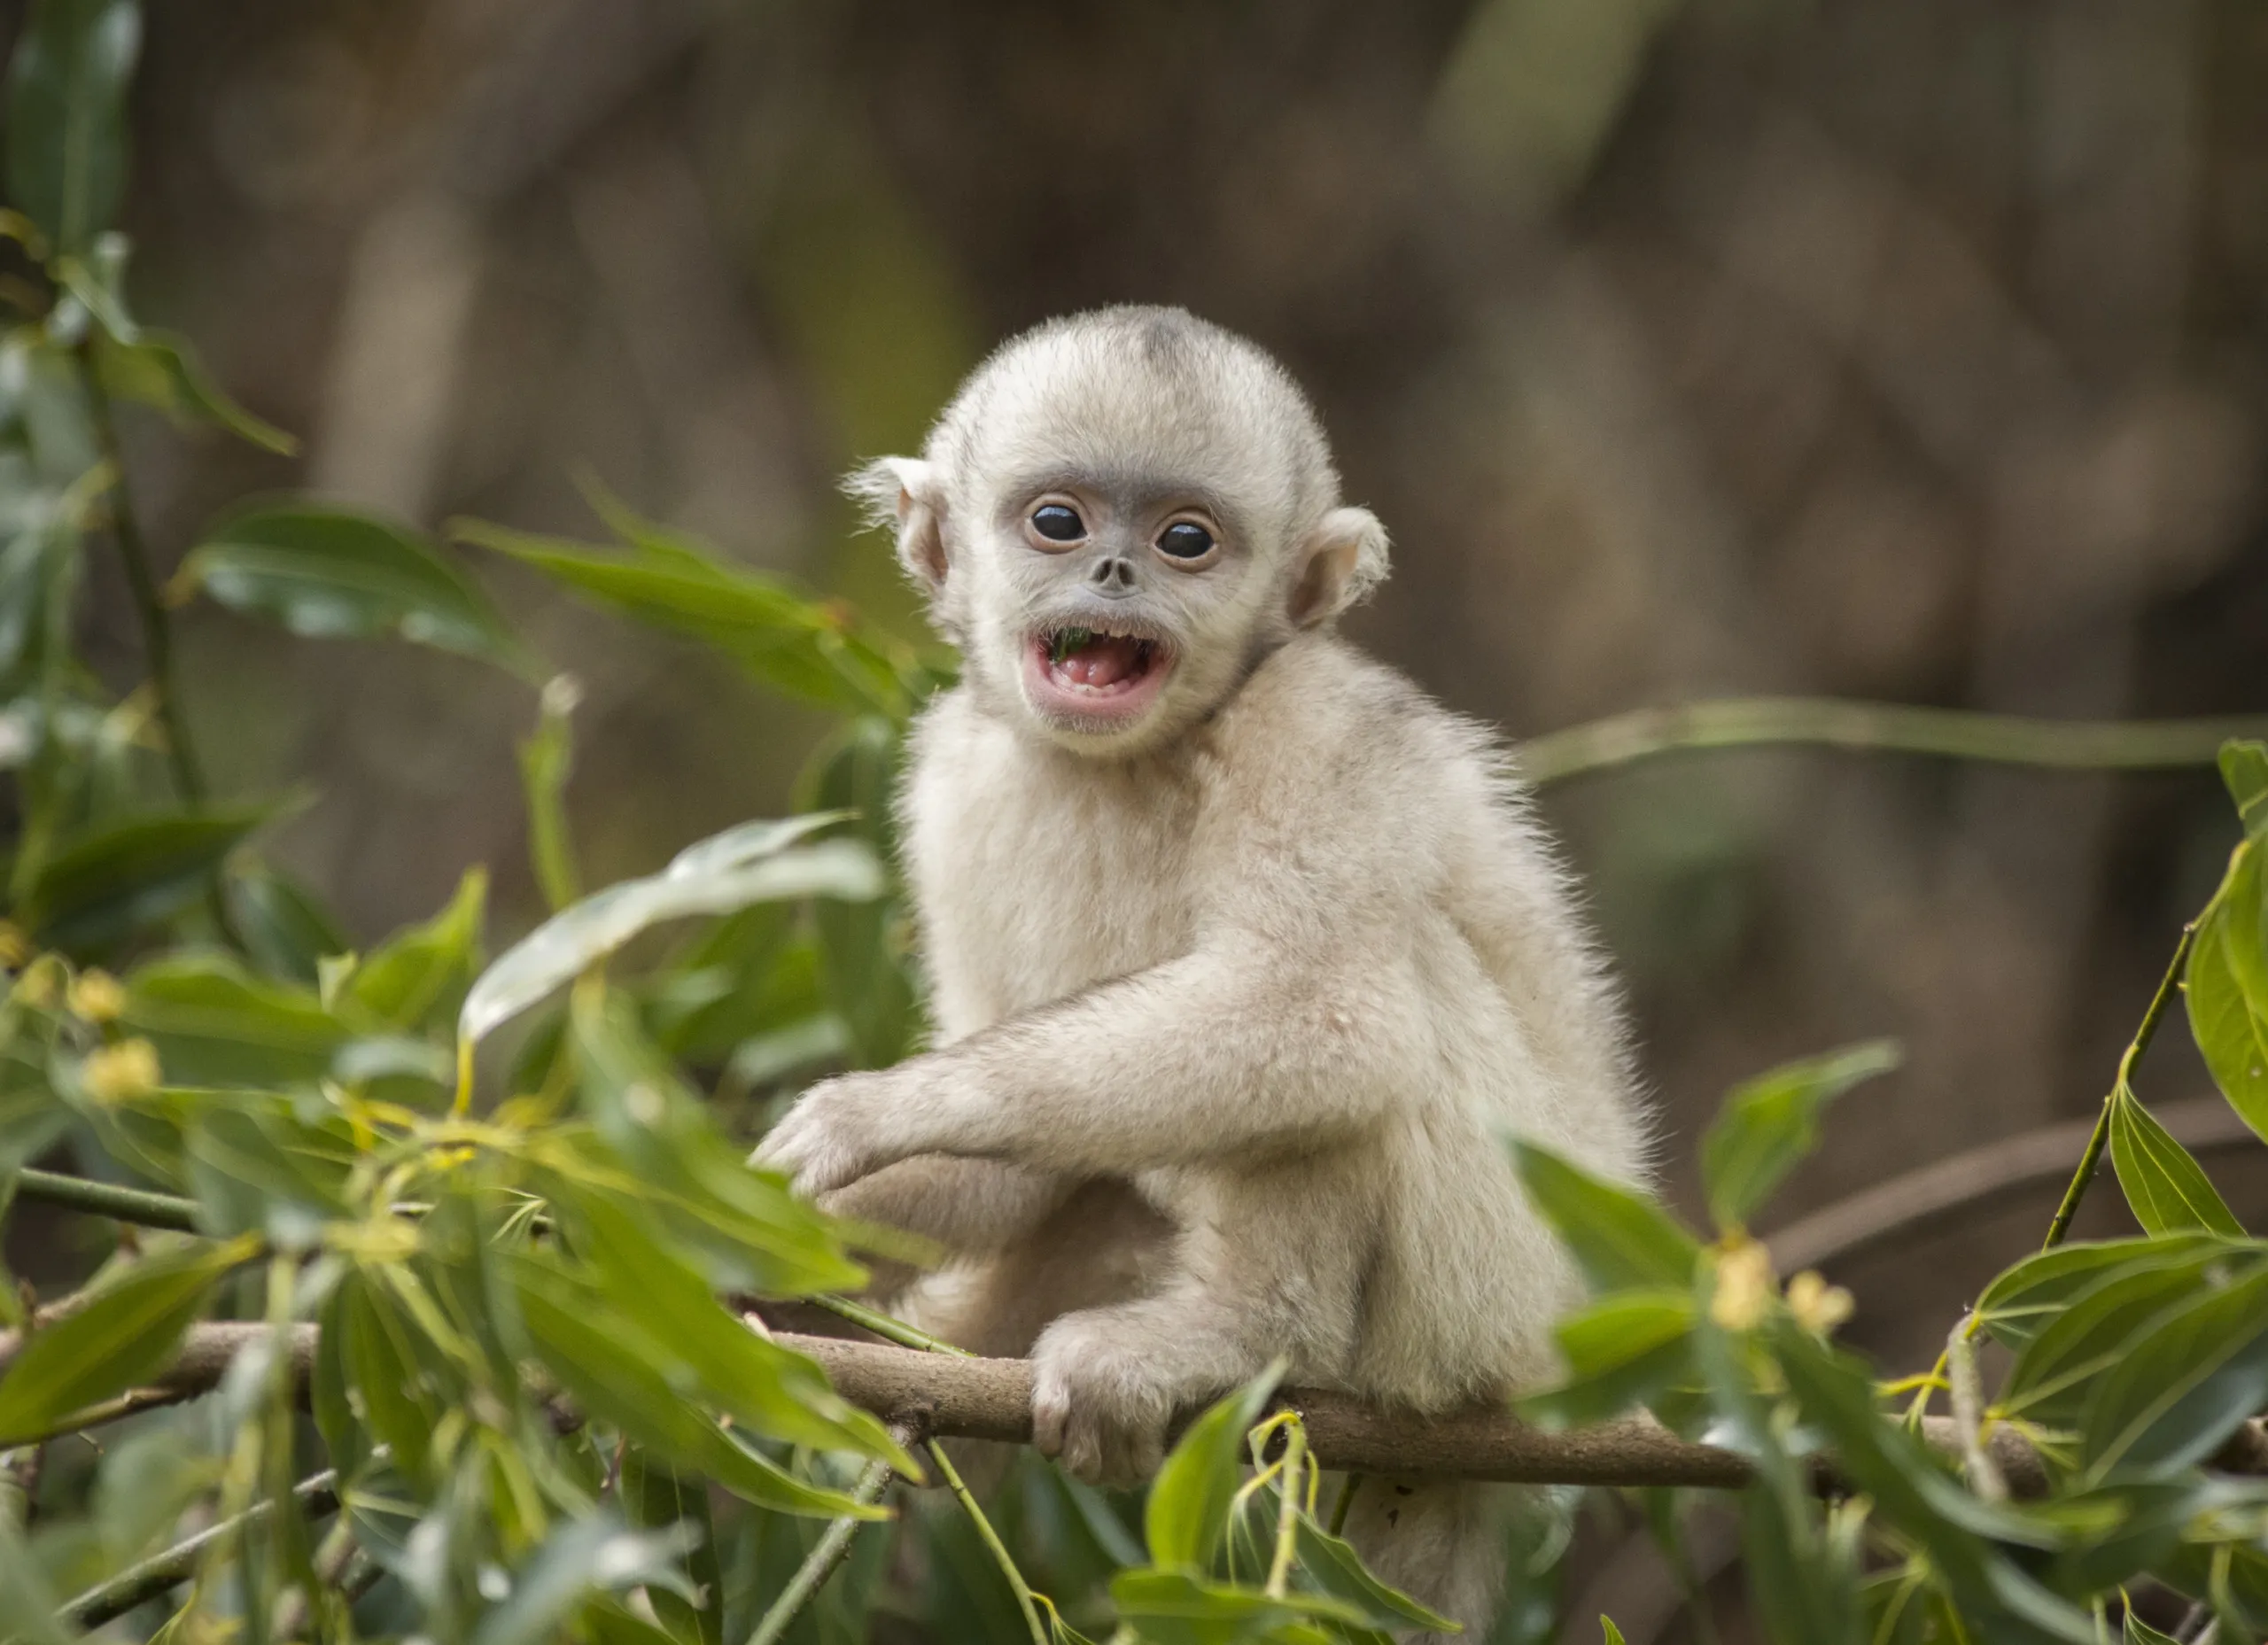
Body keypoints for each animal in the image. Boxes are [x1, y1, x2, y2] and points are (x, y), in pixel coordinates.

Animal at [762, 308, 1651, 1633]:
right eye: (1059, 521)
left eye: (1187, 540)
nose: (1115, 577)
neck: (1128, 760)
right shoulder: (951, 777)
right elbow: (1009, 1160)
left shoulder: (1310, 723)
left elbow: (1328, 1014)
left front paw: (878, 1111)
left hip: (1501, 1296)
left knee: (1363, 1031)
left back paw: (1235, 1335)